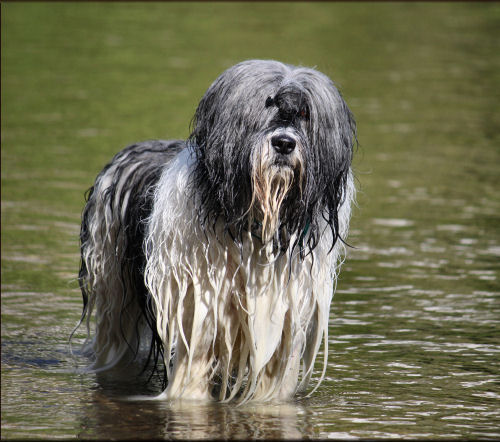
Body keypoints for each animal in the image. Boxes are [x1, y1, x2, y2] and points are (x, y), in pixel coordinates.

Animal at [73, 59, 356, 404]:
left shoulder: (282, 323)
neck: (252, 225)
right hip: (113, 294)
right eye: (267, 104)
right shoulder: (198, 311)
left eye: (304, 113)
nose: (284, 143)